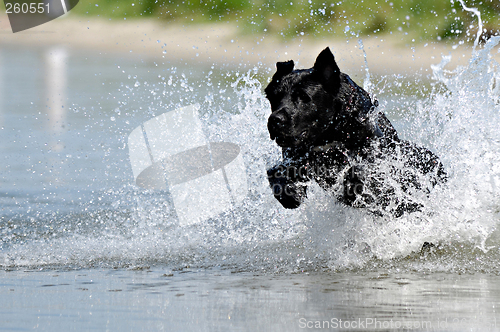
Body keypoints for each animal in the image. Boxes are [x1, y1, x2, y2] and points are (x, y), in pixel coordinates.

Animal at [266, 48, 446, 217]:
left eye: (303, 96)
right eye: (273, 98)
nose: (275, 120)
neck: (330, 134)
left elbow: (360, 171)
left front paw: (352, 189)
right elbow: (275, 172)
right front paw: (290, 193)